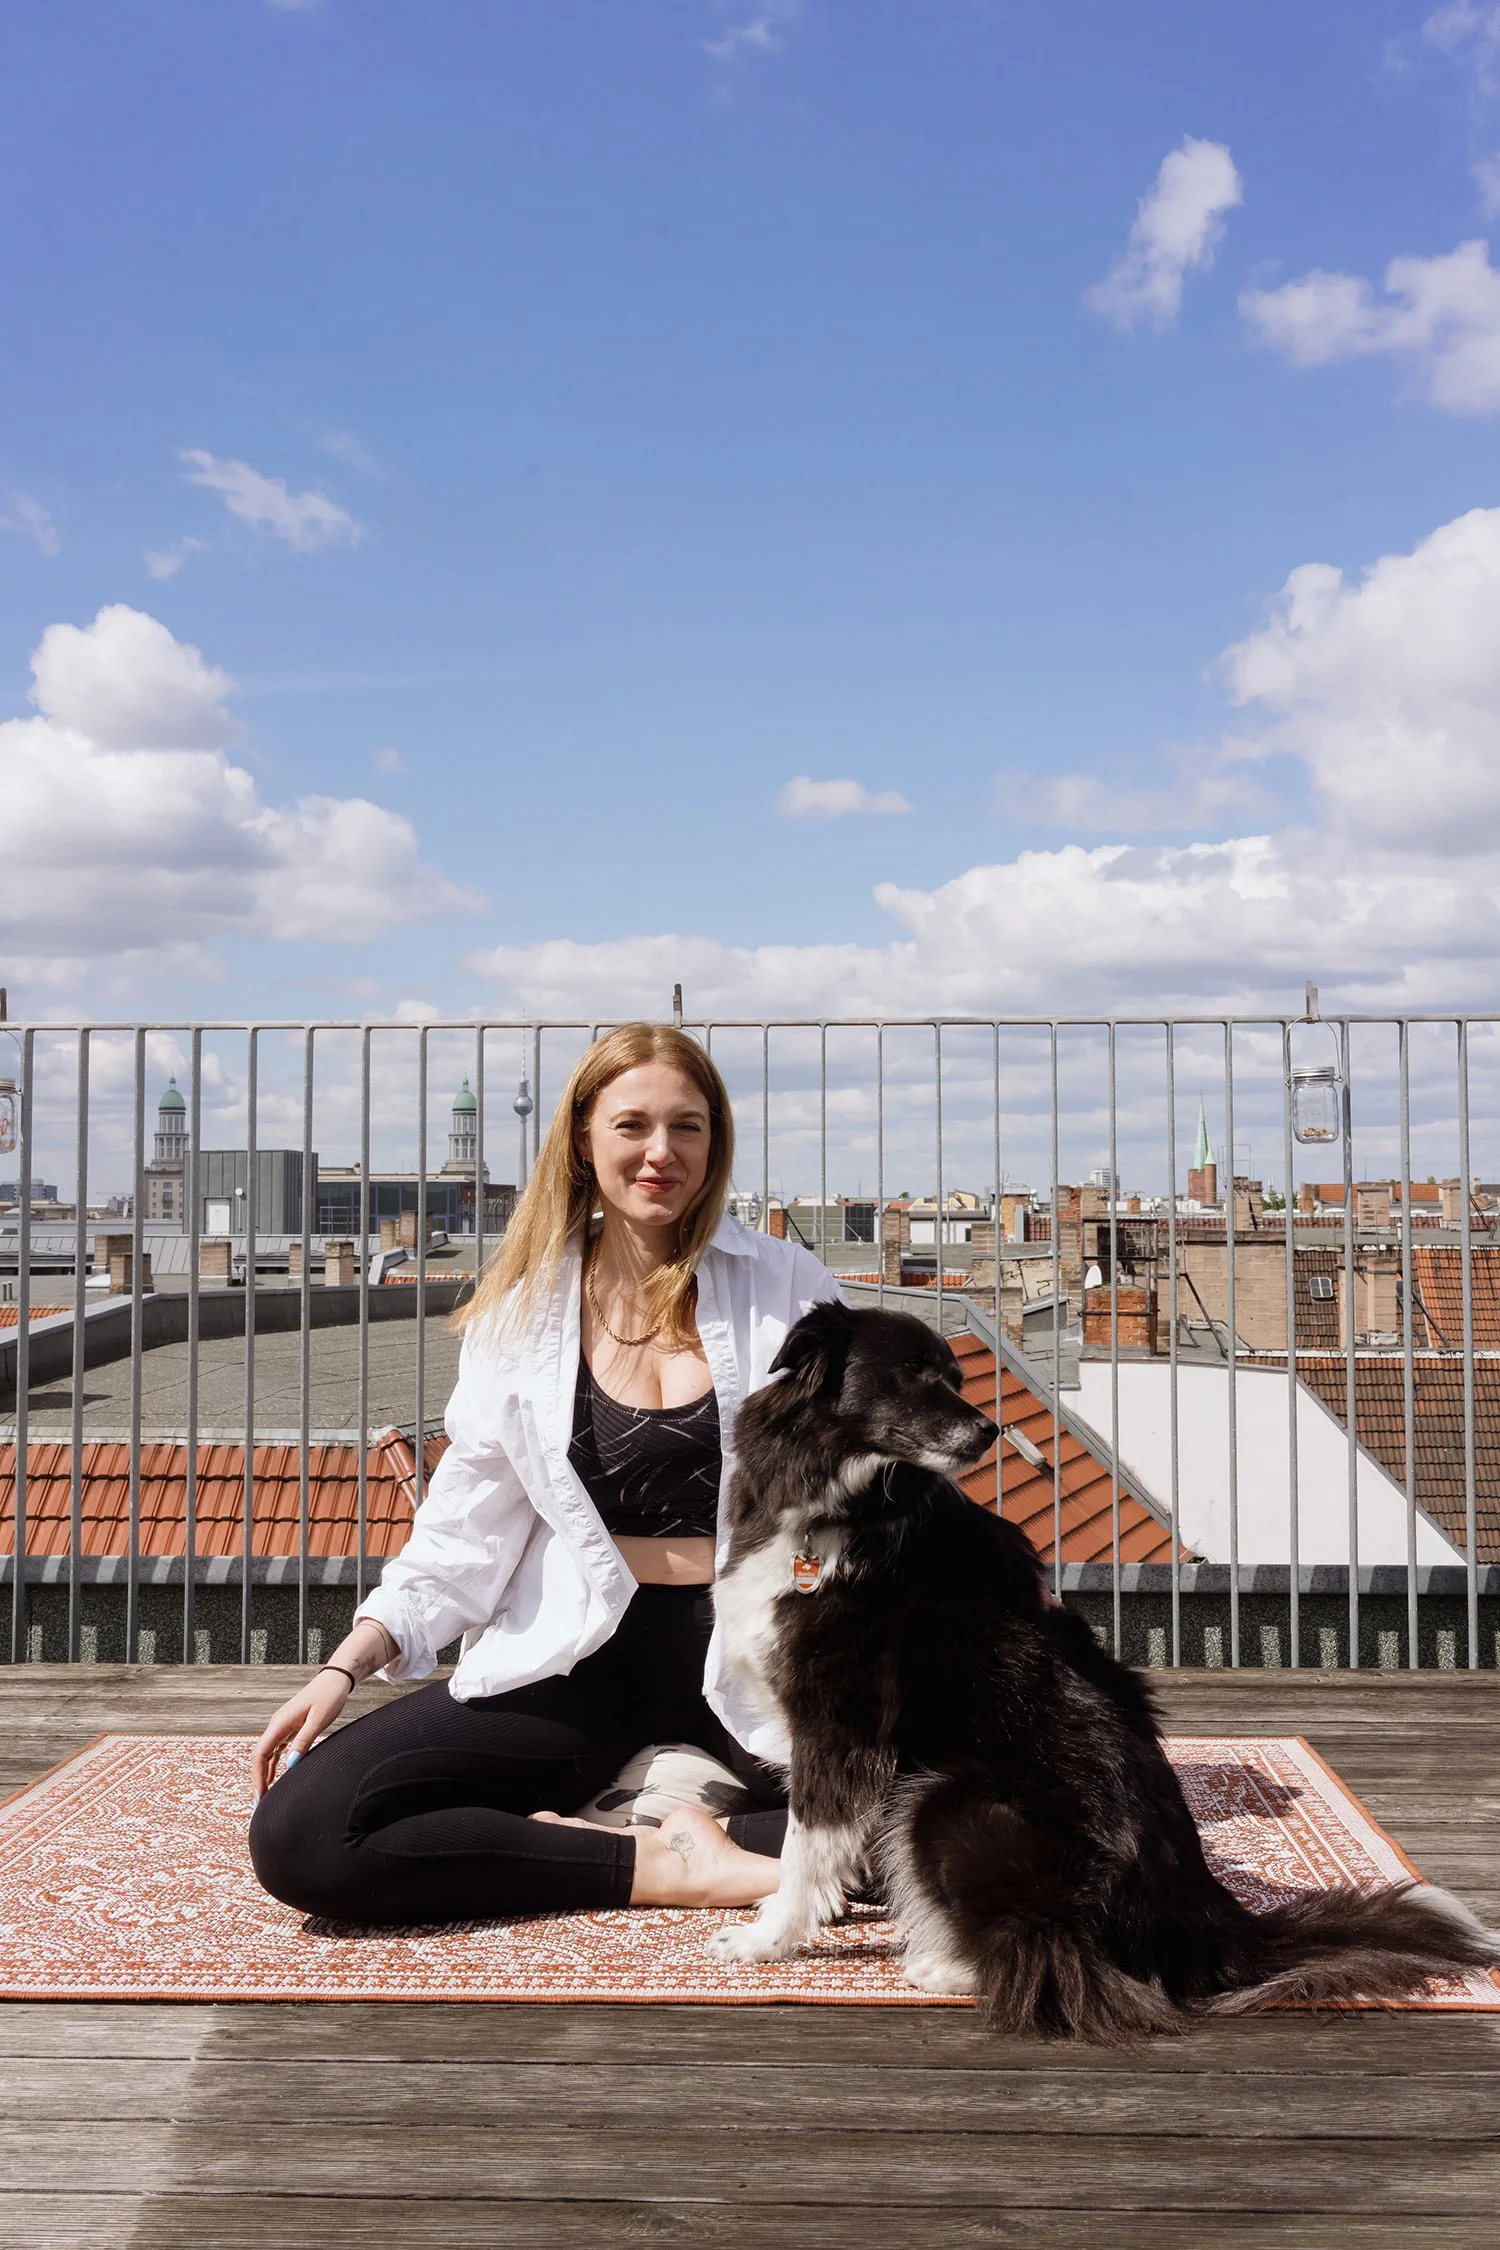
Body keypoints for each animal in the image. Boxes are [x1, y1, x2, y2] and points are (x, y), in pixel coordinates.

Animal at [710, 1300, 1500, 2039]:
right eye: (911, 1372)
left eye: (955, 1377)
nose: (988, 1432)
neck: (841, 1506)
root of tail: (1209, 1927)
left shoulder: (841, 1724)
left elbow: (805, 1845)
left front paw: (766, 1941)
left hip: (948, 1795)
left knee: (1061, 1962)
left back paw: (946, 1964)